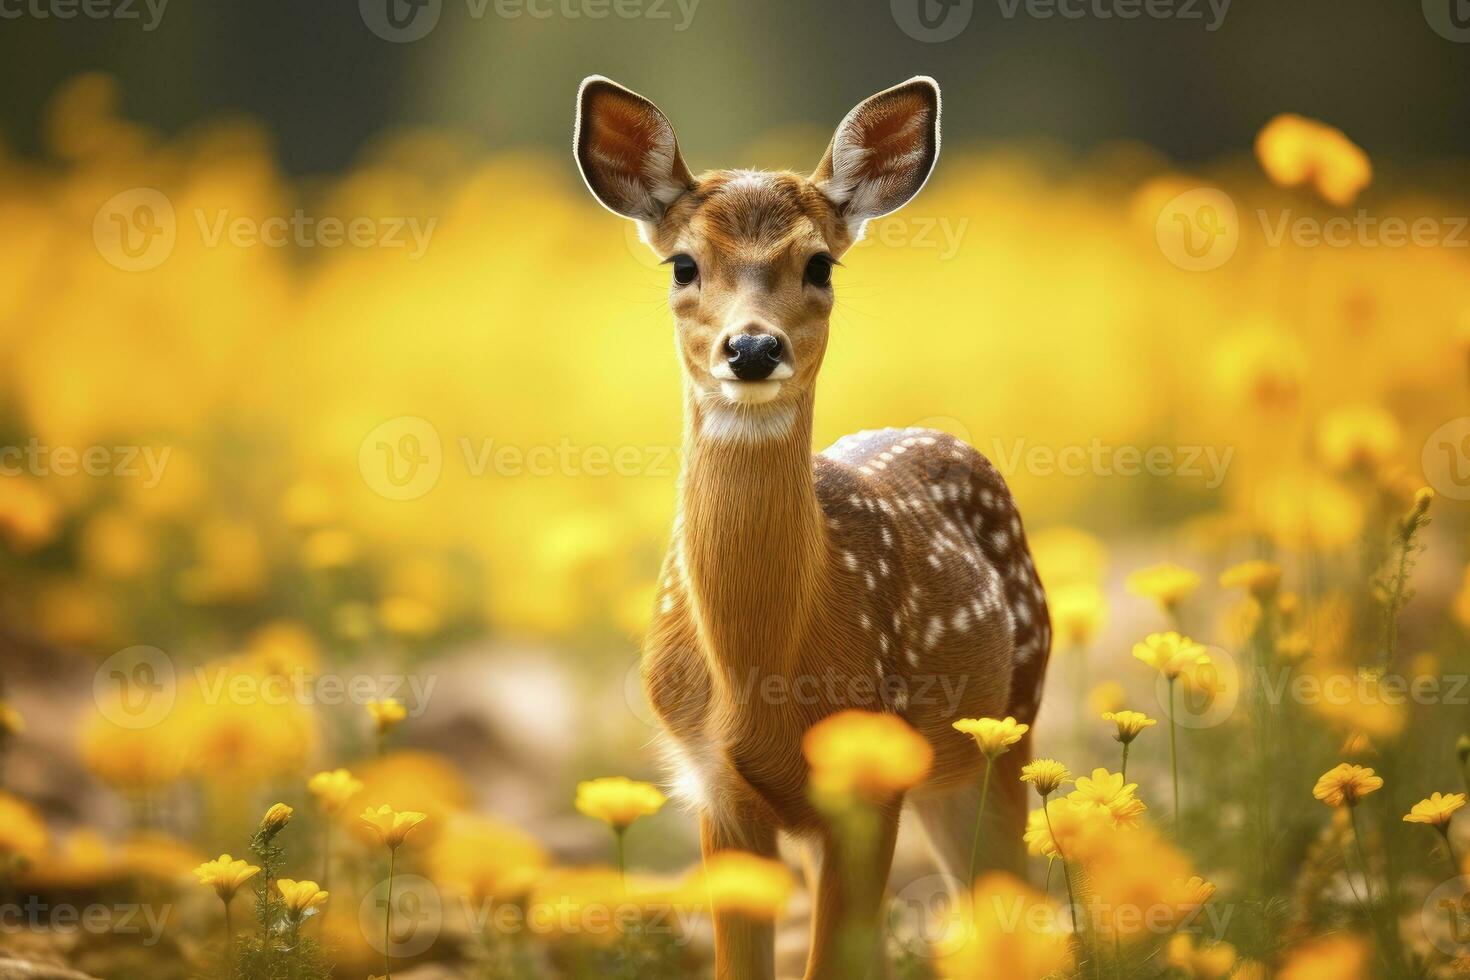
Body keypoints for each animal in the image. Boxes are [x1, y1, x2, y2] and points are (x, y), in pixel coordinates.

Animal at [570, 76, 1046, 980]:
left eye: (819, 263)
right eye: (683, 263)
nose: (753, 348)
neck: (764, 671)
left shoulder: (872, 781)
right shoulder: (714, 786)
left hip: (1012, 722)